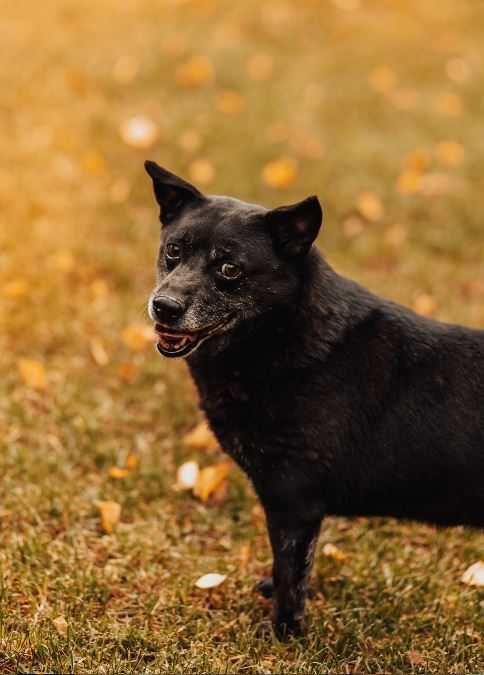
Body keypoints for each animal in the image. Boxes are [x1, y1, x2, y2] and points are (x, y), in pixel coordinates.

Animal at [145, 161, 484, 636]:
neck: (282, 335)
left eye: (229, 269)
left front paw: (283, 634)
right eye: (174, 251)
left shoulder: (294, 501)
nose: (165, 307)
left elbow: (291, 575)